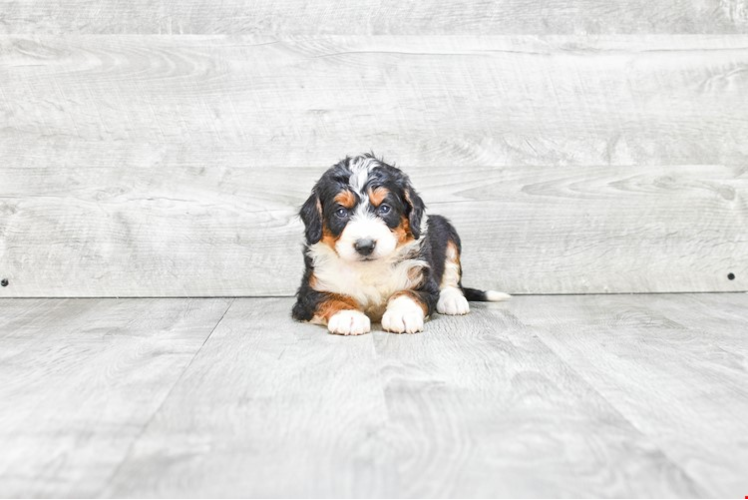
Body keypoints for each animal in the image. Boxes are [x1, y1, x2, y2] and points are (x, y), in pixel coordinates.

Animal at [292, 154, 508, 334]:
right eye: (341, 212)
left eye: (384, 208)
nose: (365, 245)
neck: (369, 269)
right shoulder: (309, 292)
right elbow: (330, 297)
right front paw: (349, 316)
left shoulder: (422, 281)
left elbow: (408, 293)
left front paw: (402, 315)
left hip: (446, 232)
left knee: (451, 278)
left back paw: (452, 300)